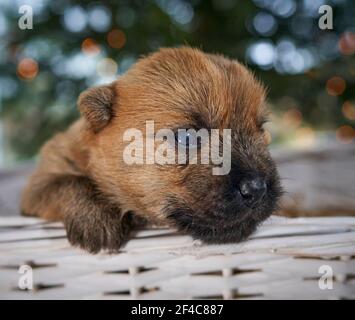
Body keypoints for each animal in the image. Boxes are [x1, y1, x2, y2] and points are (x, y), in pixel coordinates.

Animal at [20, 47, 282, 252]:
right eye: (187, 137)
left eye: (262, 130)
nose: (257, 188)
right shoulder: (40, 183)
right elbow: (67, 181)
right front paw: (96, 219)